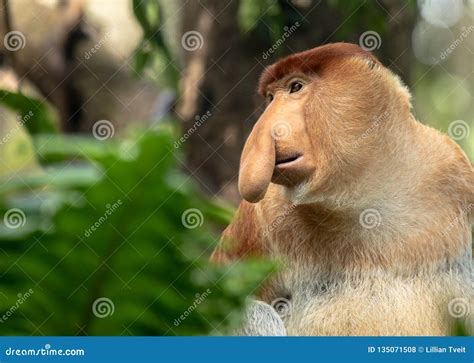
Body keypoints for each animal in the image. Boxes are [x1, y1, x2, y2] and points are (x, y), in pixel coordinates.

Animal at [212, 42, 474, 336]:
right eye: (270, 98)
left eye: (295, 87)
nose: (264, 128)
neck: (364, 197)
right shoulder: (264, 212)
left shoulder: (454, 172)